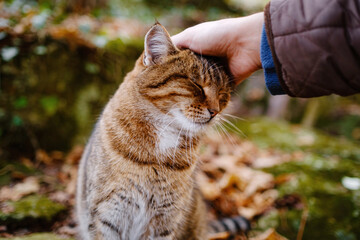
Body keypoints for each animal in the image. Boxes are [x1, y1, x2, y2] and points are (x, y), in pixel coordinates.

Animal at [76, 23, 238, 240]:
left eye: (223, 94)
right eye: (196, 84)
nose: (215, 111)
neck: (165, 131)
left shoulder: (165, 220)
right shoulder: (108, 213)